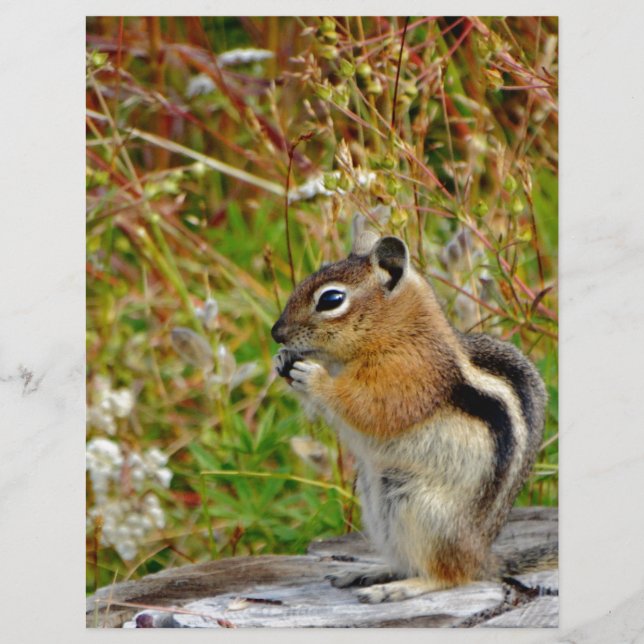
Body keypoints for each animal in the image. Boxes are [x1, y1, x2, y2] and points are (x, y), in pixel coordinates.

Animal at [271, 222, 553, 603]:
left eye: (330, 300)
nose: (276, 333)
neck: (399, 331)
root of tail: (481, 557)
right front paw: (283, 359)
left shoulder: (408, 374)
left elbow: (370, 407)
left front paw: (314, 377)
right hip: (378, 506)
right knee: (409, 560)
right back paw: (370, 572)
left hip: (420, 509)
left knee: (449, 575)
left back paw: (400, 587)